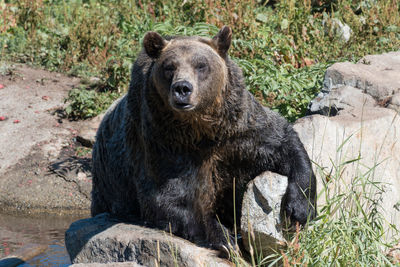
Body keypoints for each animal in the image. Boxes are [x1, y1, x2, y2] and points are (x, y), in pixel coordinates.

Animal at [90, 26, 316, 253]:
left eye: (201, 65)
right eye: (169, 67)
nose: (182, 88)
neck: (202, 130)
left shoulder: (240, 131)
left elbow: (282, 143)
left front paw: (299, 208)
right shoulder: (163, 143)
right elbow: (169, 198)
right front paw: (225, 237)